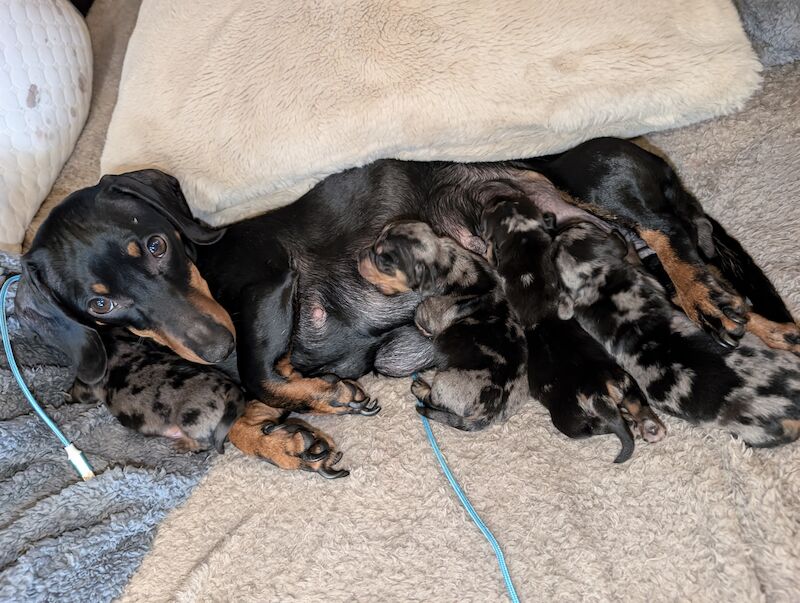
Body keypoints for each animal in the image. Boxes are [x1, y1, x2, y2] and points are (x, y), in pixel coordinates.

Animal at [360, 221, 528, 430]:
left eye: (384, 263)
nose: (358, 256)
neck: (447, 262)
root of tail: (488, 415)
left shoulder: (427, 310)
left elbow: (419, 313)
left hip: (442, 381)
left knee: (433, 400)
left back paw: (420, 388)